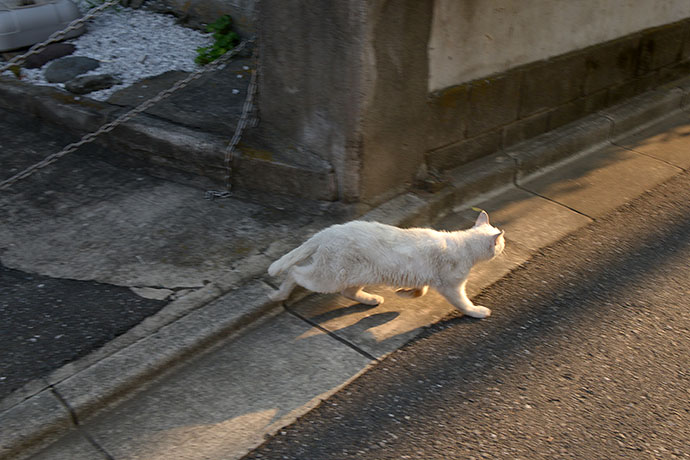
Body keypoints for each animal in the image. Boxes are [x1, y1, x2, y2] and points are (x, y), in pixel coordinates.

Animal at [266, 210, 502, 318]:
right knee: (294, 272)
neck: (464, 245)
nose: (505, 246)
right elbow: (463, 303)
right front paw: (477, 311)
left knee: (348, 292)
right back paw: (279, 294)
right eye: (502, 243)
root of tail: (328, 231)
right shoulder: (451, 287)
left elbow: (421, 290)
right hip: (328, 278)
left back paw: (371, 299)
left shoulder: (424, 276)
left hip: (359, 274)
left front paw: (405, 294)